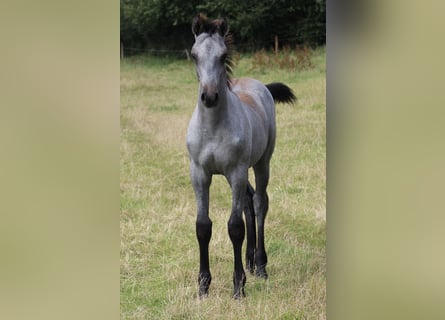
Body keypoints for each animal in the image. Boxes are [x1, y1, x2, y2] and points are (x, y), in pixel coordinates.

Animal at [186, 13, 296, 298]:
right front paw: (203, 286)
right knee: (248, 202)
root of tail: (260, 85)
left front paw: (238, 286)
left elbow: (235, 228)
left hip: (260, 163)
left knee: (259, 202)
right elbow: (203, 226)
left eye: (223, 55)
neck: (213, 127)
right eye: (194, 55)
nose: (209, 96)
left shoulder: (236, 171)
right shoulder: (200, 174)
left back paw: (260, 265)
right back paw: (250, 260)